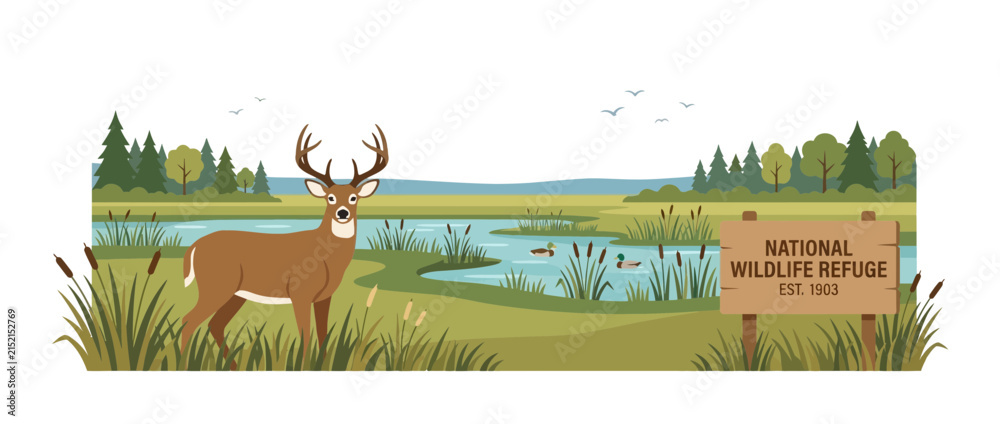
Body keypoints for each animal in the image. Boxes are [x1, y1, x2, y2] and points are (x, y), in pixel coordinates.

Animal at [179, 124, 388, 363]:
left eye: (354, 198)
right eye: (331, 197)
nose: (342, 213)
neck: (324, 257)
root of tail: (195, 246)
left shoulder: (324, 297)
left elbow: (323, 334)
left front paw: (322, 363)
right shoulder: (300, 292)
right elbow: (305, 335)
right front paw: (304, 364)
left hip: (235, 293)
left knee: (215, 323)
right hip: (216, 285)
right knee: (189, 320)